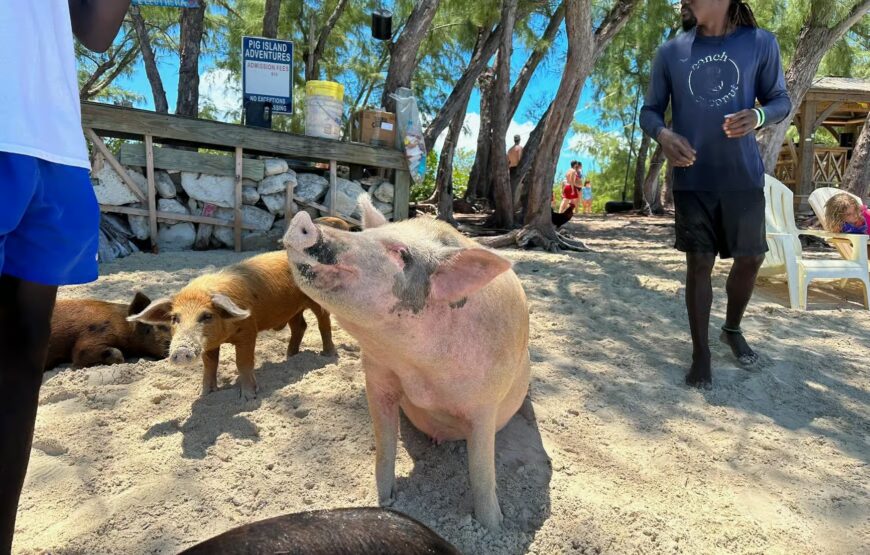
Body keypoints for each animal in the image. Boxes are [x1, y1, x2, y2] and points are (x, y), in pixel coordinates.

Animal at [128, 251, 336, 400]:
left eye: (206, 316)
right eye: (174, 318)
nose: (180, 351)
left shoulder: (248, 332)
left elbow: (243, 362)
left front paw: (249, 397)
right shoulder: (209, 345)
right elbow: (210, 365)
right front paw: (205, 394)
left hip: (318, 300)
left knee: (323, 323)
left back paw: (328, 355)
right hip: (292, 309)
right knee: (300, 326)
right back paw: (290, 356)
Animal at [282, 195, 530, 531]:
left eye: (401, 253)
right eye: (363, 233)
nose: (303, 220)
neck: (418, 370)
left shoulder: (485, 403)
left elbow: (482, 470)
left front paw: (494, 526)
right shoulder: (377, 376)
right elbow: (385, 447)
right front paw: (385, 500)